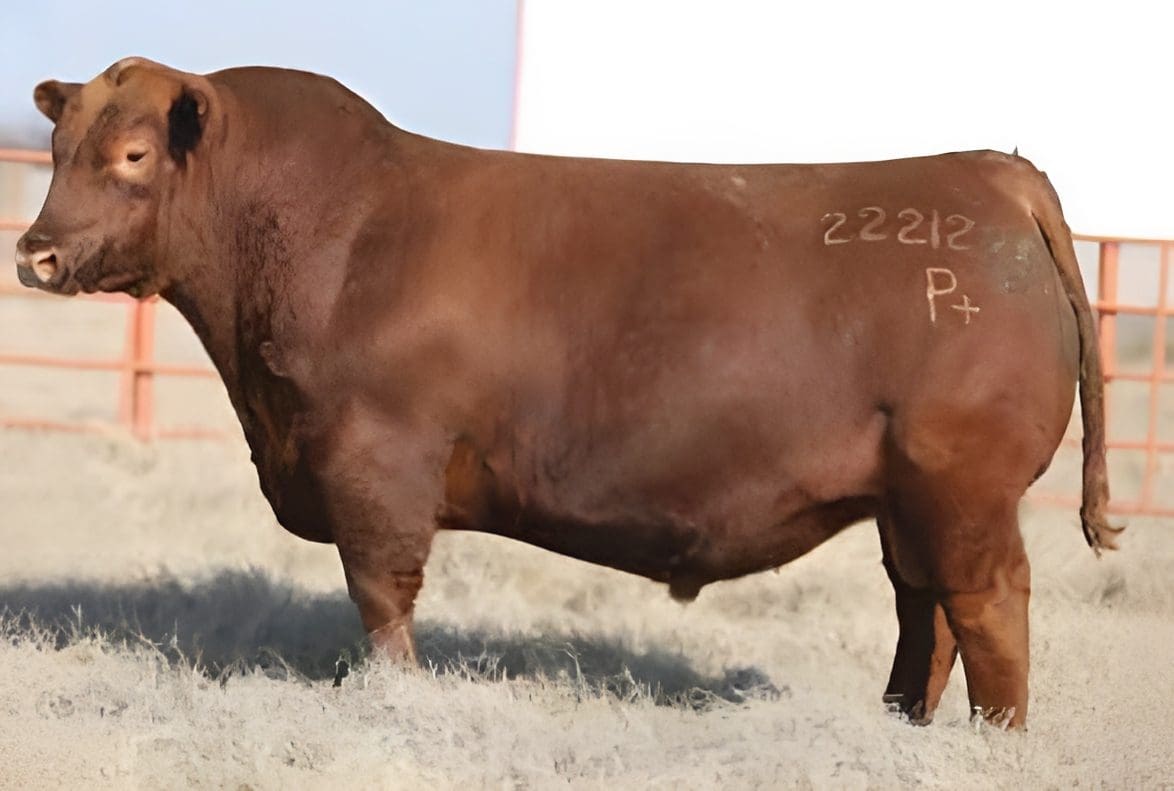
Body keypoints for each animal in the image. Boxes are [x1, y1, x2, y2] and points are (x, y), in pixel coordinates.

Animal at [15, 58, 1119, 728]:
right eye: (60, 151)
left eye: (132, 155)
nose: (35, 252)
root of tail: (988, 171)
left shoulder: (374, 463)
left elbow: (381, 598)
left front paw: (396, 697)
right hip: (910, 495)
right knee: (922, 607)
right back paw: (900, 726)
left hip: (962, 484)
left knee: (987, 605)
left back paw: (989, 742)